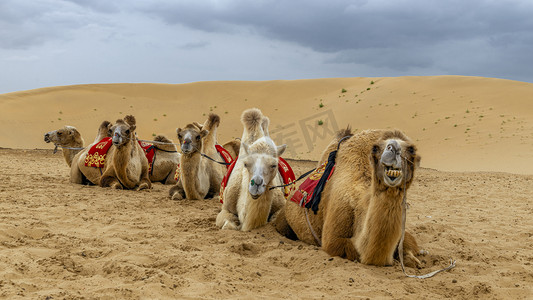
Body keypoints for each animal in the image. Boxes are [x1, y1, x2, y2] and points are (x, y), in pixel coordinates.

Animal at [274, 128, 424, 268]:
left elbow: (409, 243)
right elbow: (351, 250)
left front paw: (414, 260)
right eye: (376, 148)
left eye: (412, 149)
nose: (393, 149)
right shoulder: (333, 237)